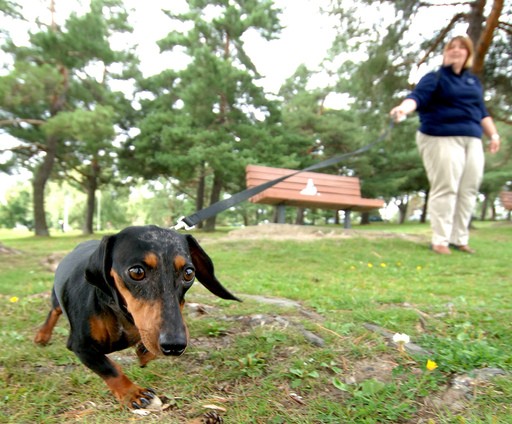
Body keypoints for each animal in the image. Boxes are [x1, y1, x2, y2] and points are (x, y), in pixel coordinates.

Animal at [35, 227, 239, 410]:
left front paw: (143, 351)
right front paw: (133, 393)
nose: (174, 345)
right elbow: (109, 368)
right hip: (57, 301)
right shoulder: (81, 346)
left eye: (189, 273)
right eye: (137, 272)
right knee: (54, 311)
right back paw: (42, 335)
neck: (118, 309)